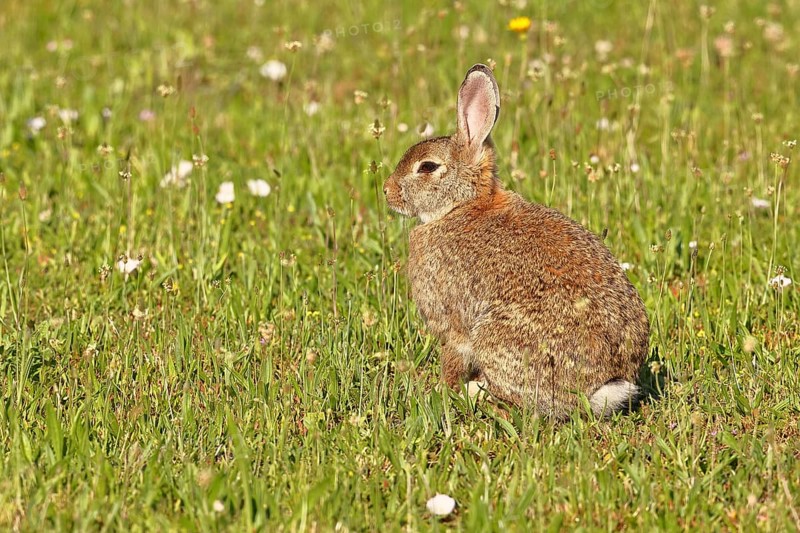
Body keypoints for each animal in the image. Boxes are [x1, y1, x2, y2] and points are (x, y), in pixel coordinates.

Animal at [383, 64, 650, 418]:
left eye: (427, 167)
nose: (386, 190)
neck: (462, 205)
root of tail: (602, 387)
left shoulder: (452, 325)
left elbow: (453, 357)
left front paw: (442, 389)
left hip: (497, 338)